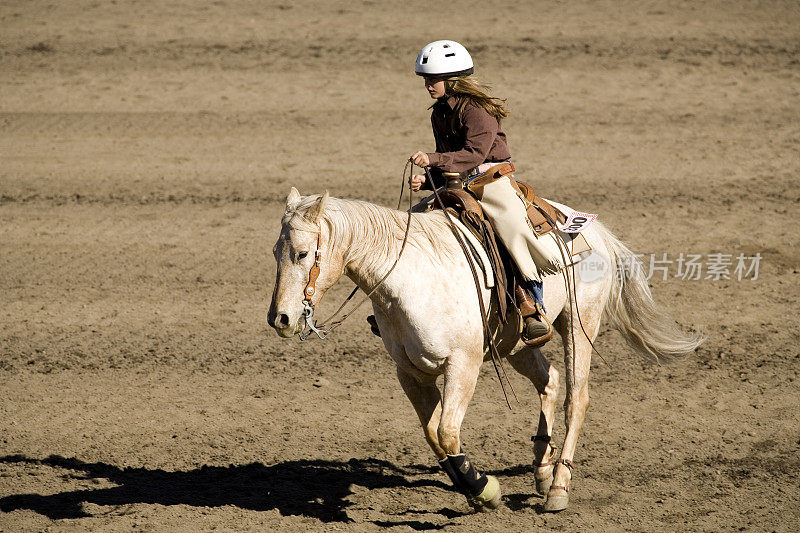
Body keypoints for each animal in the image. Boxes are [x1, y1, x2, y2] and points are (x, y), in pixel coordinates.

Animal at [268, 188, 700, 512]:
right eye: (275, 252)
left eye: (302, 253)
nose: (281, 318)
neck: (411, 279)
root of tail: (593, 231)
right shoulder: (410, 372)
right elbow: (434, 434)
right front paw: (473, 486)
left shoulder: (464, 363)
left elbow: (446, 431)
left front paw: (484, 490)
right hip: (516, 343)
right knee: (549, 380)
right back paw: (542, 468)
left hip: (581, 325)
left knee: (576, 397)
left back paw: (559, 487)